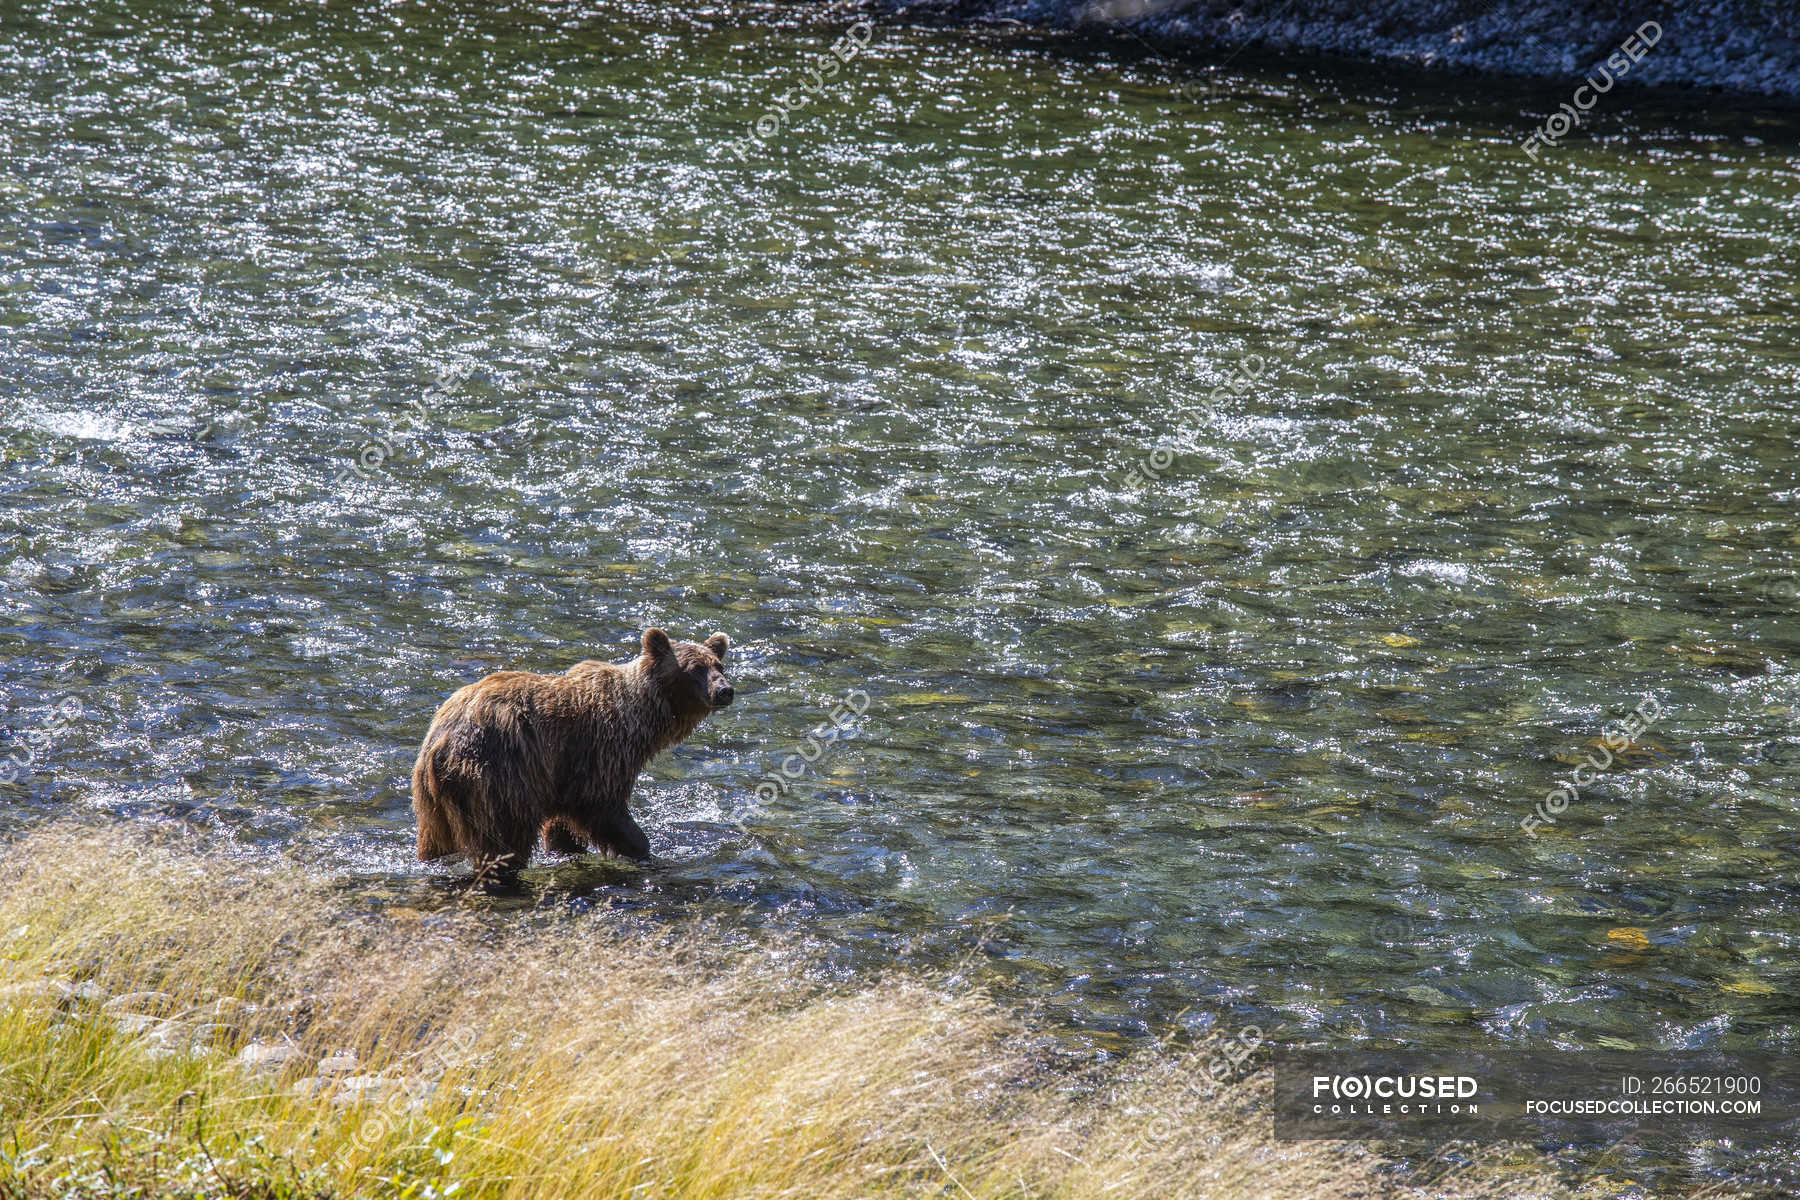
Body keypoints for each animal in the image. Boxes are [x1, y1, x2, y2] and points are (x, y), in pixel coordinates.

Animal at [411, 628, 733, 884]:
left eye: (719, 664)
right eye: (694, 668)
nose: (725, 690)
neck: (643, 719)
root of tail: (439, 740)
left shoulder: (562, 776)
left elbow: (562, 826)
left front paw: (565, 849)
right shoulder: (600, 752)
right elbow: (603, 807)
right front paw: (642, 850)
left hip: (432, 802)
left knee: (435, 843)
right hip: (497, 774)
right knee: (505, 838)